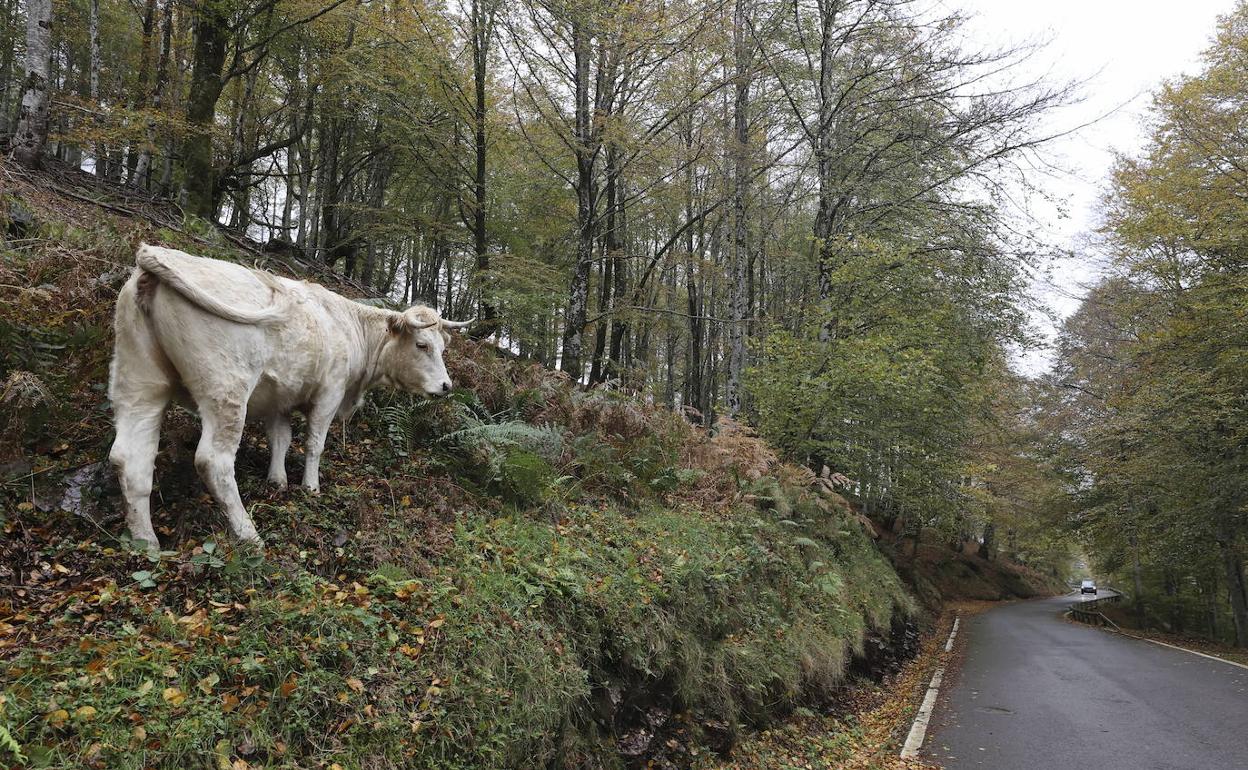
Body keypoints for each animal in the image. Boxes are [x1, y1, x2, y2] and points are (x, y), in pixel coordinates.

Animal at [104, 242, 469, 546]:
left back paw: (146, 543)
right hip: (226, 392)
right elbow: (314, 443)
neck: (347, 325)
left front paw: (277, 481)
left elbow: (280, 438)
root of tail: (158, 254)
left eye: (442, 347)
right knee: (213, 461)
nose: (446, 386)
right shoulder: (329, 393)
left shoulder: (279, 397)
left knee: (130, 458)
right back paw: (248, 535)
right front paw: (310, 487)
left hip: (139, 382)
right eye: (422, 345)